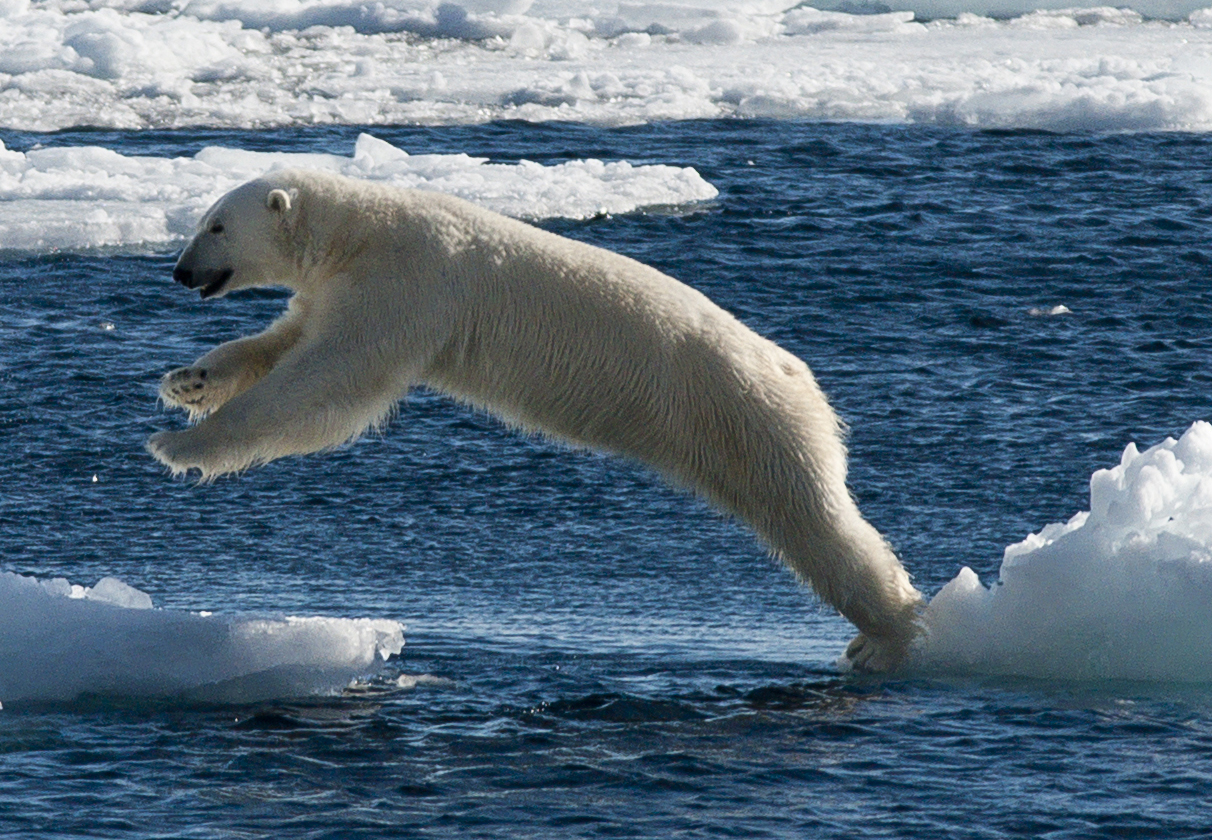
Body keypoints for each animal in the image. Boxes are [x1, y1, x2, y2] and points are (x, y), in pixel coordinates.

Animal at [153, 168, 925, 669]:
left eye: (216, 224)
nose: (182, 272)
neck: (359, 230)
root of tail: (803, 381)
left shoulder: (406, 286)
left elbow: (327, 385)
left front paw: (181, 444)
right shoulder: (339, 289)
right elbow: (282, 343)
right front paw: (188, 382)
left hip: (742, 415)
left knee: (814, 520)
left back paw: (885, 636)